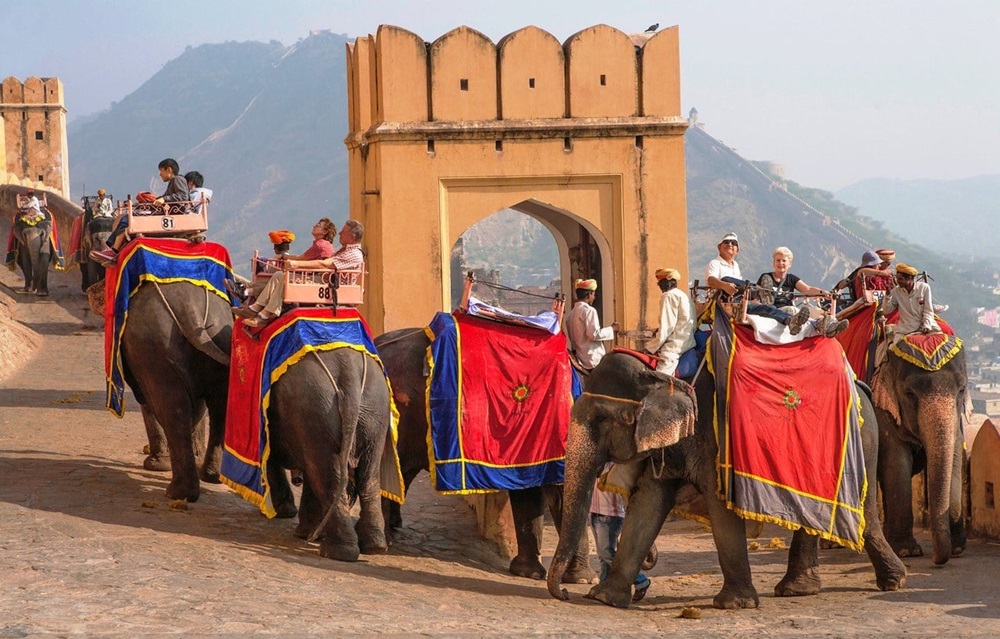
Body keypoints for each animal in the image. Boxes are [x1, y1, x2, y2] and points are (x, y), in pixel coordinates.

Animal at [258, 348, 390, 564]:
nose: (296, 479)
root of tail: (350, 378)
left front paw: (285, 515)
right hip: (375, 413)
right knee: (368, 475)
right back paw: (374, 546)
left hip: (315, 409)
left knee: (325, 475)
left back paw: (334, 551)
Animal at [548, 356, 908, 608]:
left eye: (601, 419)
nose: (565, 593)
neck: (663, 374)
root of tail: (860, 384)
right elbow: (647, 504)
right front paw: (604, 598)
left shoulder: (716, 438)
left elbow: (721, 507)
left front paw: (734, 604)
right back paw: (800, 589)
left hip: (861, 441)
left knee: (861, 513)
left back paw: (892, 582)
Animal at [876, 342, 968, 568]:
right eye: (909, 393)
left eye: (962, 389)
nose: (936, 559)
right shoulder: (882, 410)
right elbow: (897, 462)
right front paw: (907, 552)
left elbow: (955, 457)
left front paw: (957, 548)